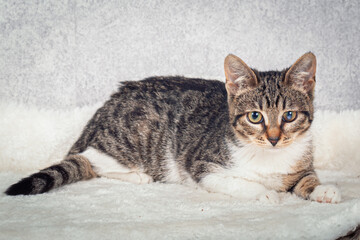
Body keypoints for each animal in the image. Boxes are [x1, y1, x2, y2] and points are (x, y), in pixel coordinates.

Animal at [4, 52, 340, 202]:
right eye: (255, 117)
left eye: (289, 116)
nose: (273, 139)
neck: (269, 158)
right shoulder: (204, 167)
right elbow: (239, 182)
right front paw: (265, 194)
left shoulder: (301, 164)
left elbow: (305, 179)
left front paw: (323, 189)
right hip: (135, 137)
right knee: (92, 162)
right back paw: (138, 176)